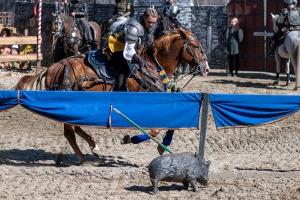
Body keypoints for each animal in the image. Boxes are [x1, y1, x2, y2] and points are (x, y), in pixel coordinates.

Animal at [15, 28, 210, 166]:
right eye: (196, 46)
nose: (206, 68)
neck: (151, 67)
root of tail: (51, 69)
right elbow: (155, 129)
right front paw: (133, 139)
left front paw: (162, 145)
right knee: (69, 131)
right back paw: (84, 159)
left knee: (75, 127)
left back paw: (93, 146)